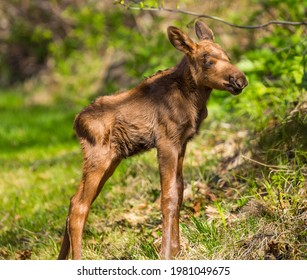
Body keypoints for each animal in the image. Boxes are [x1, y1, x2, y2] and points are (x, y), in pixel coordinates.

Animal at [59, 20, 249, 260]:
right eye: (208, 61)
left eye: (228, 56)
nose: (240, 80)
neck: (193, 100)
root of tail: (76, 122)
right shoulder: (166, 142)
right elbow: (168, 196)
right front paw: (166, 252)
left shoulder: (182, 143)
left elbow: (179, 192)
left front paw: (176, 249)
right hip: (99, 158)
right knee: (79, 206)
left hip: (112, 160)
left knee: (73, 201)